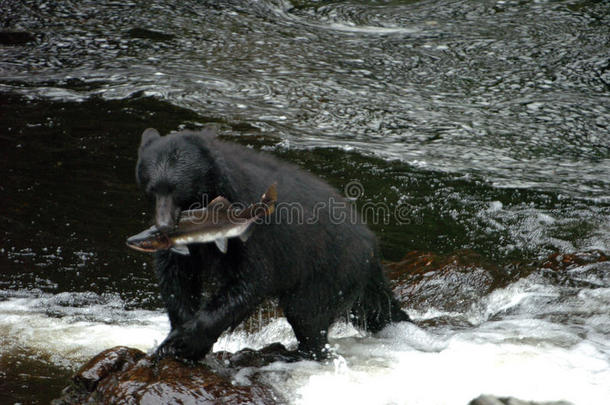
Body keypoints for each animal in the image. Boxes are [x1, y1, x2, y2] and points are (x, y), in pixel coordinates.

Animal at [135, 128, 406, 358]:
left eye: (176, 189)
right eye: (152, 189)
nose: (164, 225)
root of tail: (372, 246)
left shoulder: (249, 220)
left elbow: (252, 277)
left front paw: (186, 341)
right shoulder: (186, 238)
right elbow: (177, 272)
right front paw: (176, 336)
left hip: (329, 269)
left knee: (306, 314)